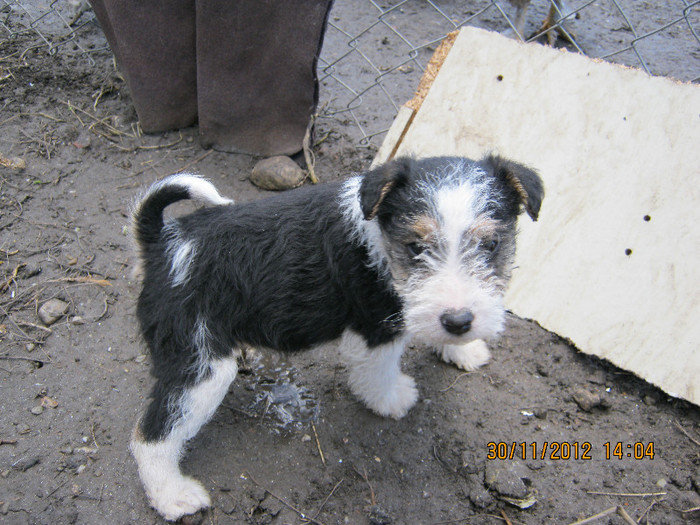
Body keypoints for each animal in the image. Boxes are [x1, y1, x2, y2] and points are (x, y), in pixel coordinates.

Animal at [129, 152, 544, 520]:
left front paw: (463, 348)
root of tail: (163, 241)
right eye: (416, 247)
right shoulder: (376, 327)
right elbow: (379, 373)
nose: (459, 322)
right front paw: (391, 399)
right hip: (199, 365)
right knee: (151, 436)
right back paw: (173, 497)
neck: (379, 228)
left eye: (490, 245)